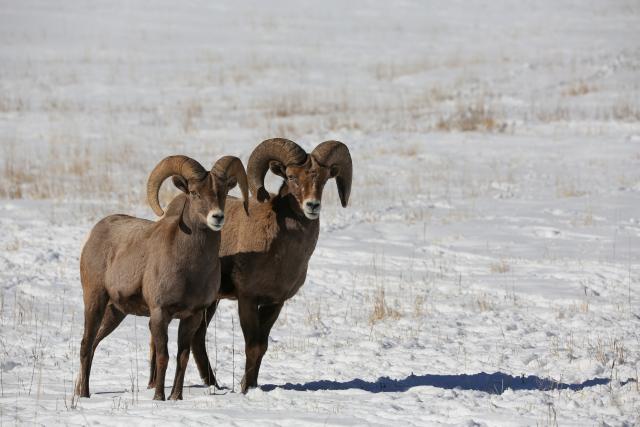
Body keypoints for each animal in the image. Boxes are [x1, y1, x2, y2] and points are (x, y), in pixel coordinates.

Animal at [76, 155, 249, 402]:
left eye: (223, 192)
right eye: (194, 193)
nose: (217, 217)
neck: (190, 269)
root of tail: (94, 233)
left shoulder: (192, 317)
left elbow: (182, 357)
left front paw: (176, 397)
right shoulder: (159, 314)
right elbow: (162, 356)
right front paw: (159, 397)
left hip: (115, 312)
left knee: (94, 345)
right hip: (95, 301)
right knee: (86, 344)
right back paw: (84, 395)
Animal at [148, 139, 352, 392]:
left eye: (324, 179)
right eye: (292, 177)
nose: (312, 206)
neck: (278, 251)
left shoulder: (275, 303)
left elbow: (262, 346)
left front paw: (252, 385)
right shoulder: (247, 299)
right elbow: (252, 346)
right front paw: (245, 389)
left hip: (211, 302)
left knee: (197, 339)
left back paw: (213, 385)